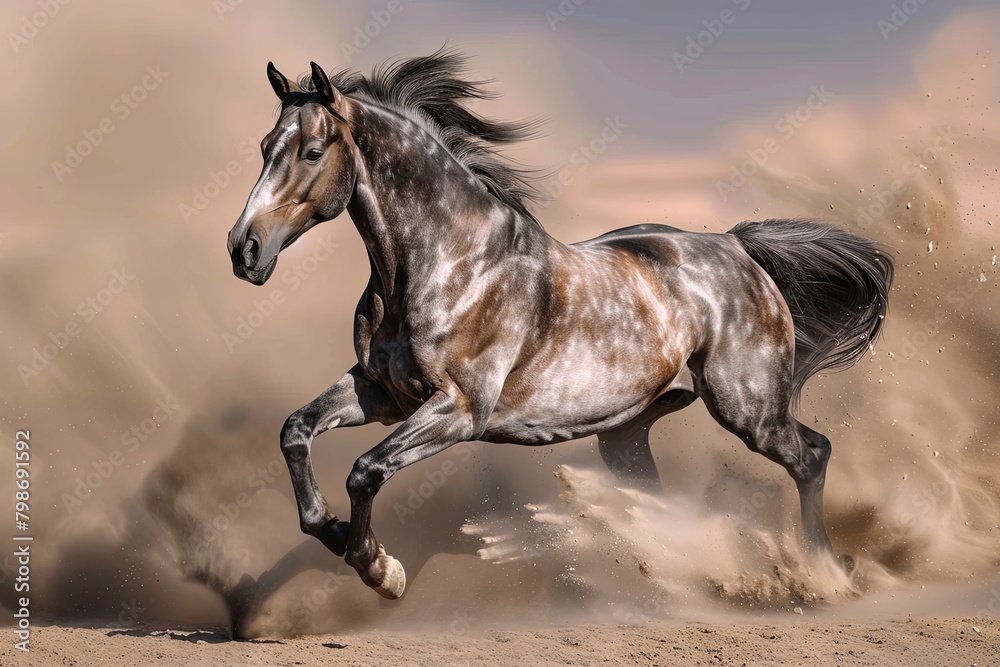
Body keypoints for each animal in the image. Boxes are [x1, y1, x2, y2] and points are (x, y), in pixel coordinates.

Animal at [225, 50, 893, 600]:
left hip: (749, 410)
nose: (244, 249)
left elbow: (366, 470)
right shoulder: (382, 393)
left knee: (812, 455)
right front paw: (337, 533)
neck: (448, 261)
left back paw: (827, 574)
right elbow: (296, 432)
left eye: (313, 152)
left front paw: (379, 568)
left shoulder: (459, 411)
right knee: (667, 500)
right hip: (626, 433)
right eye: (263, 147)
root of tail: (736, 247)